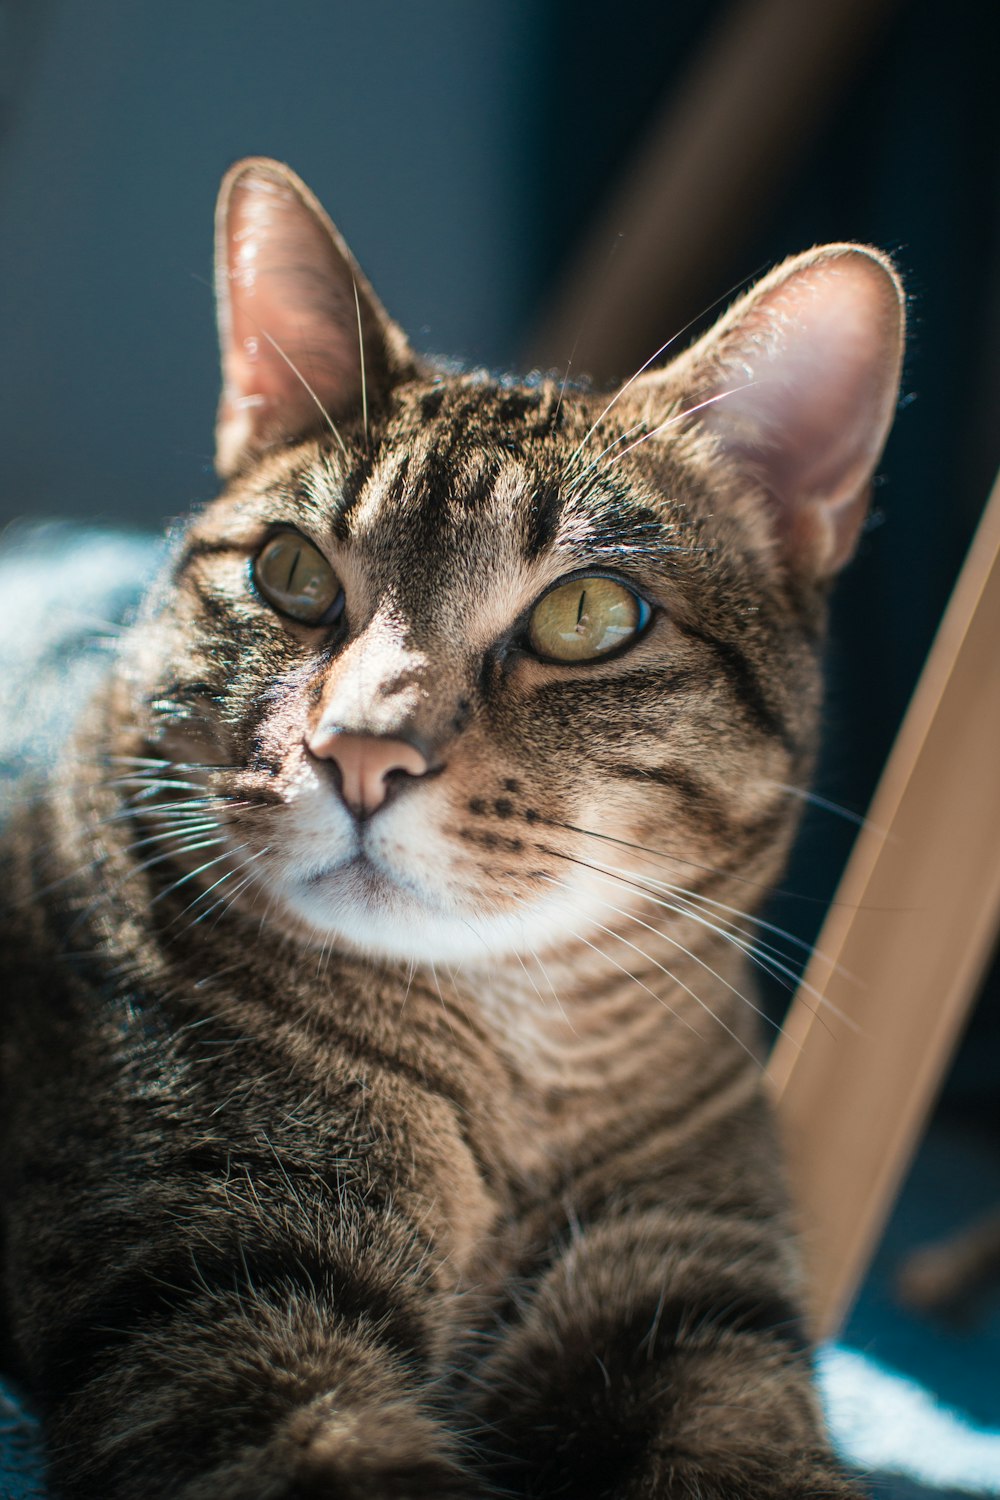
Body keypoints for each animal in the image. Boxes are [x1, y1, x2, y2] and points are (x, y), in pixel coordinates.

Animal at [0, 158, 905, 1494]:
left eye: (589, 615)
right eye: (291, 574)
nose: (360, 749)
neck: (516, 1084)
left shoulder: (695, 1304)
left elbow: (762, 1455)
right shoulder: (223, 1293)